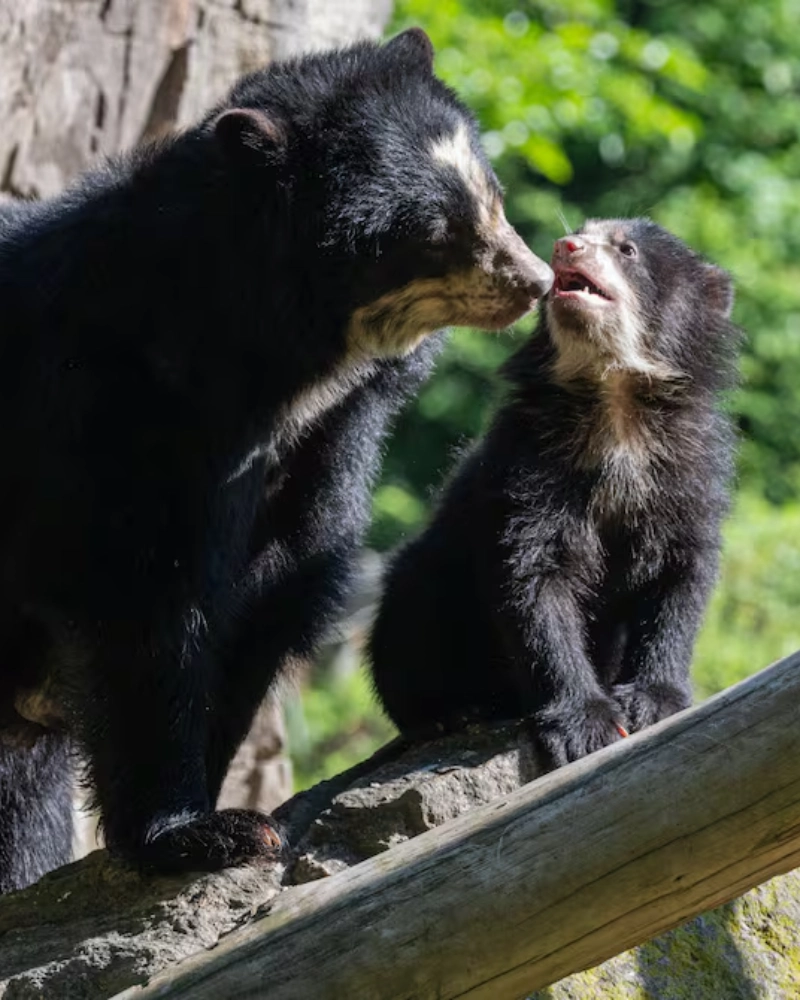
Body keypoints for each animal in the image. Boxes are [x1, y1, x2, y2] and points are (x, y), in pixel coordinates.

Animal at [0, 28, 554, 892]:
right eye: (433, 231)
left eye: (489, 194)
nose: (537, 281)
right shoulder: (108, 407)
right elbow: (139, 598)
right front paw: (198, 833)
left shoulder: (328, 435)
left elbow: (277, 583)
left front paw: (227, 807)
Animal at [369, 218, 739, 767]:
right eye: (583, 231)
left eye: (626, 250)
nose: (565, 246)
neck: (614, 400)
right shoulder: (531, 465)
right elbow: (534, 577)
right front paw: (587, 726)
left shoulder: (687, 471)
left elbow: (681, 575)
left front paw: (654, 701)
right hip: (422, 591)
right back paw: (451, 713)